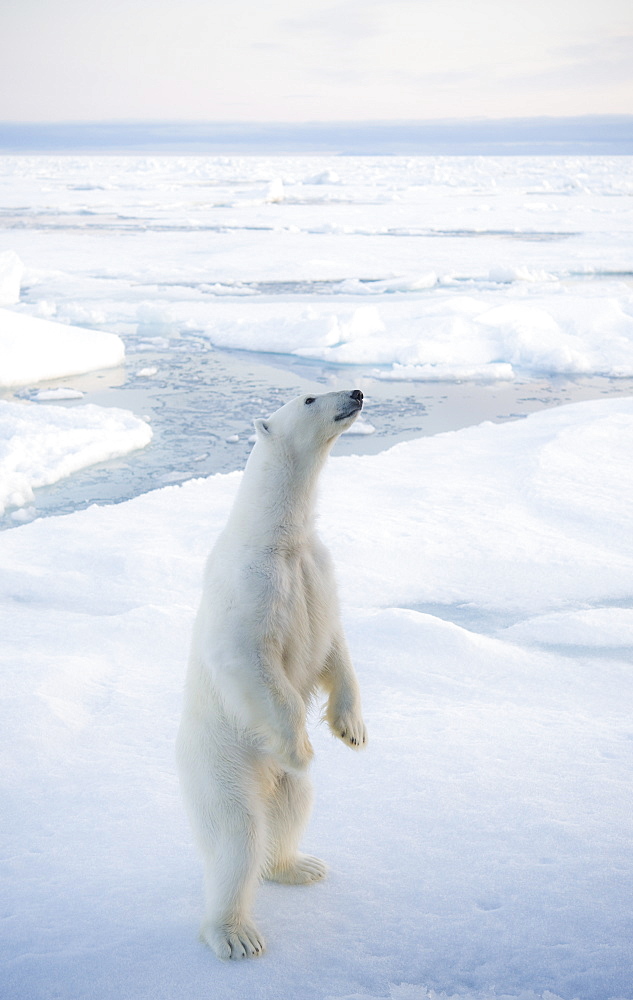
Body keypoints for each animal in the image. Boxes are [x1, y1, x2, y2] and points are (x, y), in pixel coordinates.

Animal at [175, 388, 368, 960]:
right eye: (309, 397)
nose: (357, 392)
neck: (280, 539)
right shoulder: (252, 584)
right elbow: (248, 658)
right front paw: (300, 746)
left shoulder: (316, 571)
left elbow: (334, 644)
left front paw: (351, 728)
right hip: (220, 763)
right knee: (237, 836)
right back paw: (235, 933)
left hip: (272, 784)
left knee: (292, 806)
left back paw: (298, 865)